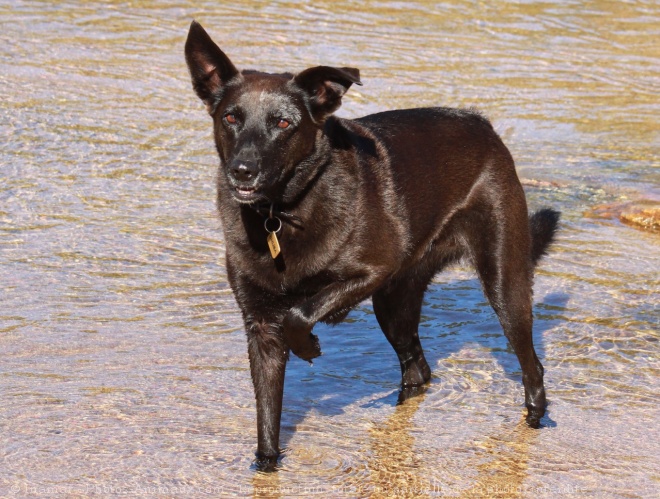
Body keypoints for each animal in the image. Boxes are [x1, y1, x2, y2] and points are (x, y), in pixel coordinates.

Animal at [184, 21, 556, 470]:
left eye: (283, 123)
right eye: (231, 117)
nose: (243, 170)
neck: (280, 213)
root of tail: (482, 125)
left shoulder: (373, 270)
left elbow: (299, 313)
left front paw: (308, 346)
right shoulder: (260, 328)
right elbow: (267, 417)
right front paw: (266, 466)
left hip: (502, 280)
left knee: (531, 365)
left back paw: (534, 419)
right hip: (394, 303)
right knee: (417, 369)